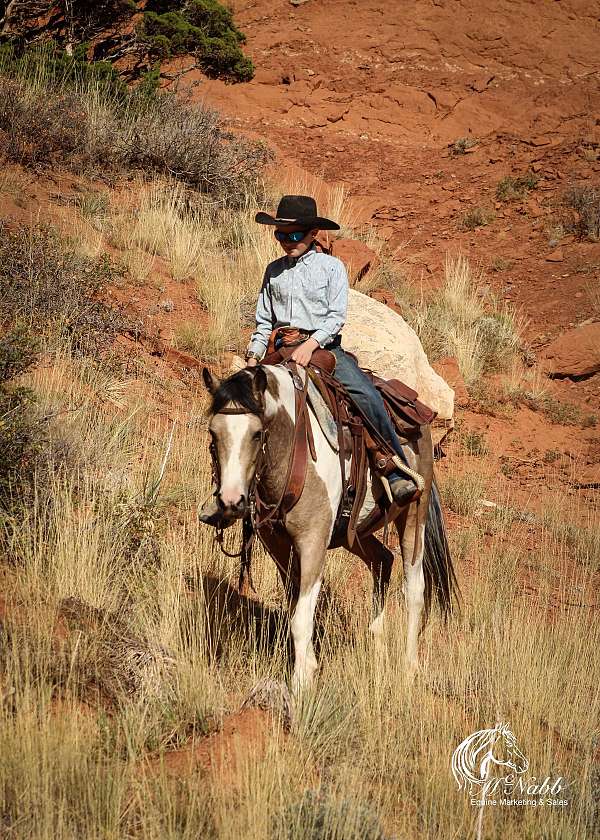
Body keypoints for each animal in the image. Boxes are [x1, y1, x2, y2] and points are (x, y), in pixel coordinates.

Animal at [199, 364, 458, 692]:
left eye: (257, 434)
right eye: (213, 432)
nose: (231, 501)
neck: (293, 447)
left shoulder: (313, 541)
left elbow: (300, 618)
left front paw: (301, 684)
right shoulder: (279, 544)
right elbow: (296, 609)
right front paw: (307, 667)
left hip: (413, 515)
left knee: (414, 589)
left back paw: (409, 667)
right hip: (354, 533)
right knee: (382, 560)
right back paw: (377, 648)